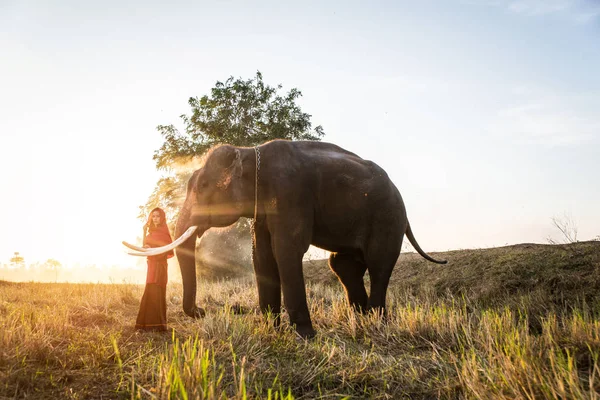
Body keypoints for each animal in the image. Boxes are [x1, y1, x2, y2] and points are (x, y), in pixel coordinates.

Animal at [125, 140, 446, 338]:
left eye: (204, 186)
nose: (202, 311)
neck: (249, 151)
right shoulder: (264, 209)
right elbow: (262, 256)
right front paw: (270, 327)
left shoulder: (290, 194)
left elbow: (286, 251)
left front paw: (304, 335)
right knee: (342, 265)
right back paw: (361, 320)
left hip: (387, 219)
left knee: (378, 264)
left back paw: (376, 322)